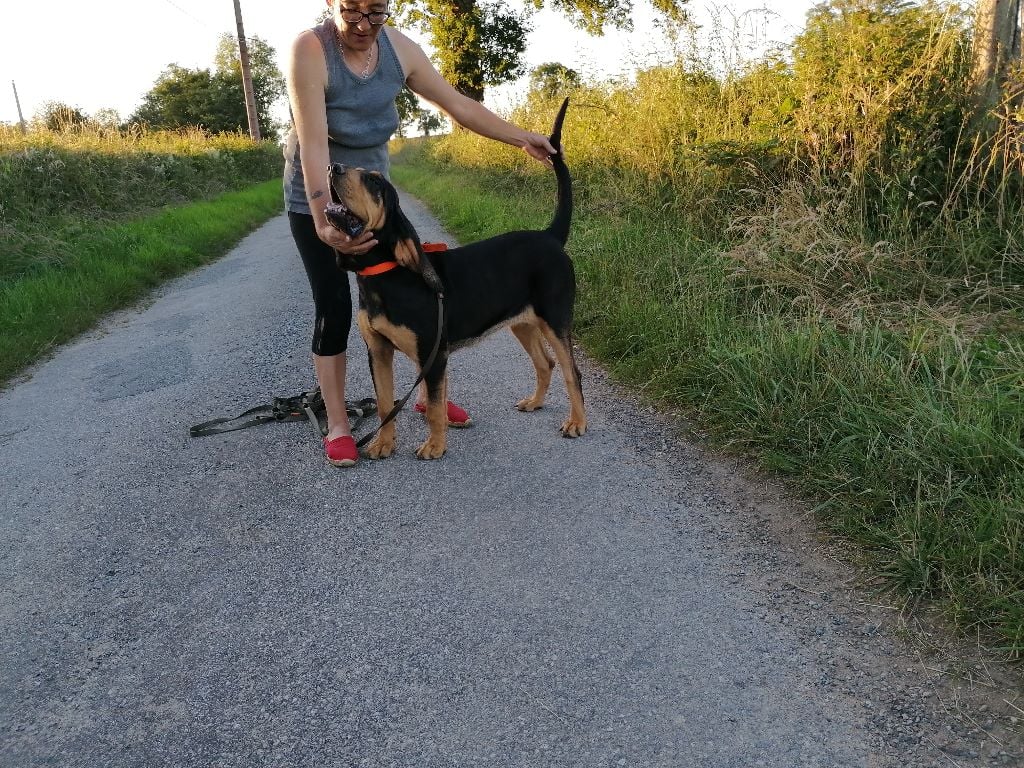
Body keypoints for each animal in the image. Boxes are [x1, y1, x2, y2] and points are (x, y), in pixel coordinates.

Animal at [327, 99, 585, 460]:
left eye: (375, 183)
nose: (333, 167)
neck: (383, 276)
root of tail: (550, 235)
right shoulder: (377, 352)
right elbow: (384, 404)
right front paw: (383, 444)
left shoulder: (433, 355)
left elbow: (435, 405)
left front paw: (435, 446)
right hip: (523, 322)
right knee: (545, 364)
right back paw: (534, 403)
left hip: (556, 320)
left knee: (571, 372)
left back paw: (577, 422)